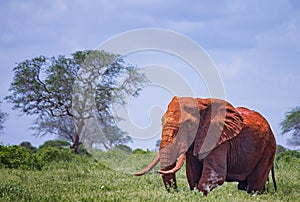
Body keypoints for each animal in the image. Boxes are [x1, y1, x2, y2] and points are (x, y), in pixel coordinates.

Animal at [135, 96, 278, 196]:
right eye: (161, 122)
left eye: (188, 125)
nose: (176, 193)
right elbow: (192, 174)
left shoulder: (218, 139)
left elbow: (215, 175)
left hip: (269, 148)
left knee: (254, 186)